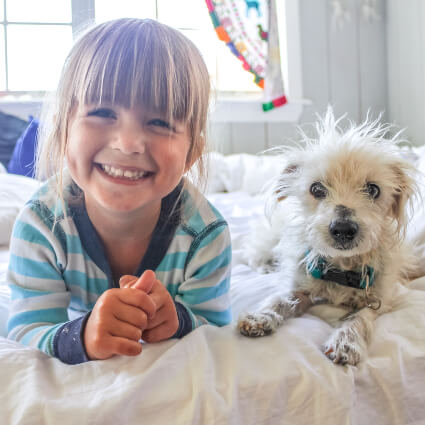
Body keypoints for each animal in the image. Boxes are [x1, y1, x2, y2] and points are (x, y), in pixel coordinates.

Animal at [237, 108, 420, 364]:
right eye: (316, 189)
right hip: (270, 239)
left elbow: (359, 318)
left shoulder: (379, 301)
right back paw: (266, 266)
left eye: (373, 189)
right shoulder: (301, 286)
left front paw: (346, 341)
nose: (343, 229)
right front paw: (260, 317)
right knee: (253, 253)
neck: (341, 268)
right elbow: (281, 299)